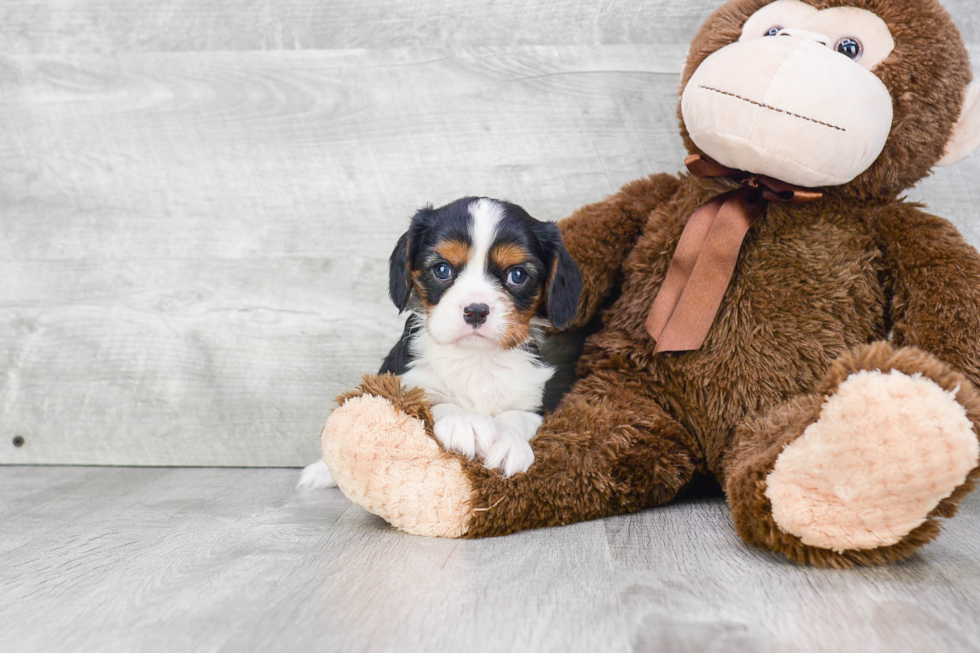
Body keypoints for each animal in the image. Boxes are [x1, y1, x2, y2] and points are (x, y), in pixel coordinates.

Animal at [298, 199, 580, 488]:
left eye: (518, 275)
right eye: (442, 269)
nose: (476, 311)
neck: (477, 359)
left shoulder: (534, 404)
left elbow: (518, 416)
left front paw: (507, 441)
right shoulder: (404, 383)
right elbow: (429, 402)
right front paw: (466, 421)